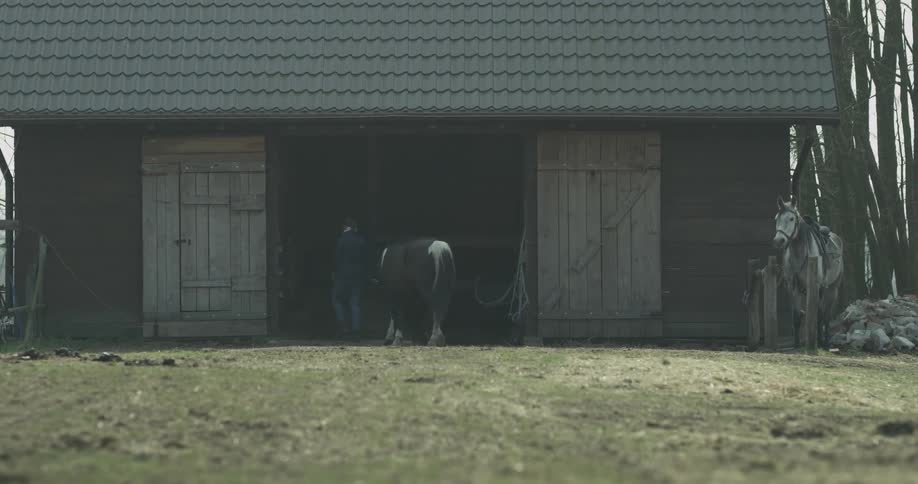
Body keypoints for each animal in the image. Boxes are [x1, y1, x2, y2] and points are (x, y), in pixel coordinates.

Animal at [772, 196, 844, 348]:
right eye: (776, 218)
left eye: (791, 218)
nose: (779, 240)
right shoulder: (793, 288)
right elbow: (796, 316)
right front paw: (796, 345)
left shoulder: (816, 287)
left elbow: (818, 315)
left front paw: (819, 342)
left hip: (832, 289)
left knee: (825, 316)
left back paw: (825, 342)